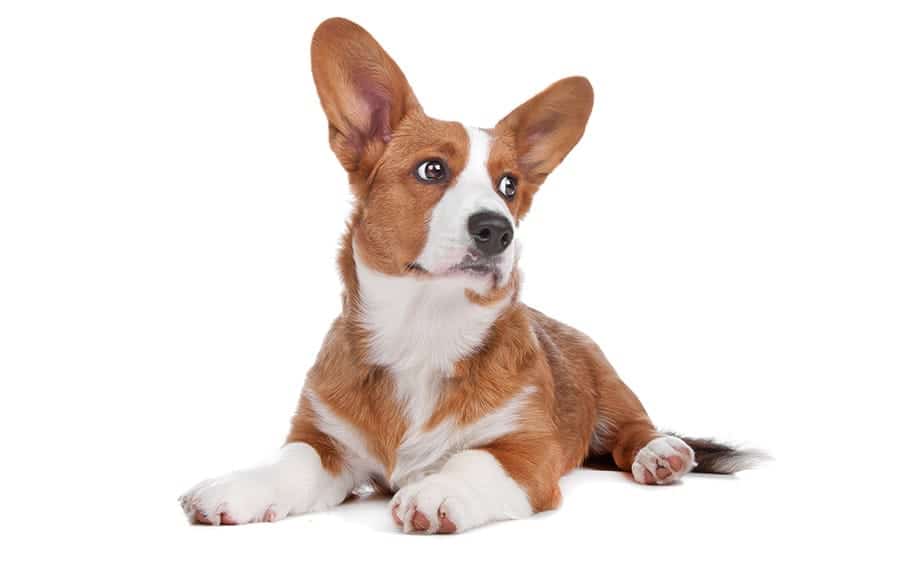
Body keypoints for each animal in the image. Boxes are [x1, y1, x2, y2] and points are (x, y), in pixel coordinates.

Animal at [178, 17, 760, 532]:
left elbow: (474, 460)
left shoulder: (526, 449)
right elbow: (290, 462)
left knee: (633, 429)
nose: (497, 231)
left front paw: (438, 490)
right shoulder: (325, 440)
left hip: (607, 382)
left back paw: (660, 454)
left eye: (509, 185)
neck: (422, 328)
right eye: (432, 170)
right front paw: (237, 486)